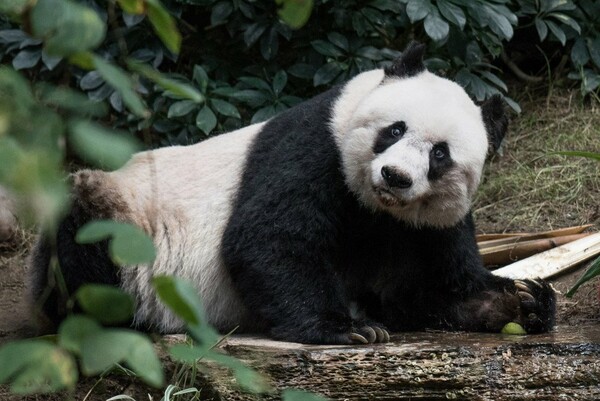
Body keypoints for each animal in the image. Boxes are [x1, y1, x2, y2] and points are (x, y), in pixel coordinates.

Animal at [28, 43, 556, 344]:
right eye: (394, 130)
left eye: (440, 155)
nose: (395, 177)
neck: (377, 208)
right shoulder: (314, 149)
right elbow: (269, 238)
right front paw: (350, 328)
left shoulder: (424, 223)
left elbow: (425, 286)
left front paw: (523, 301)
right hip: (125, 215)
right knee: (86, 237)